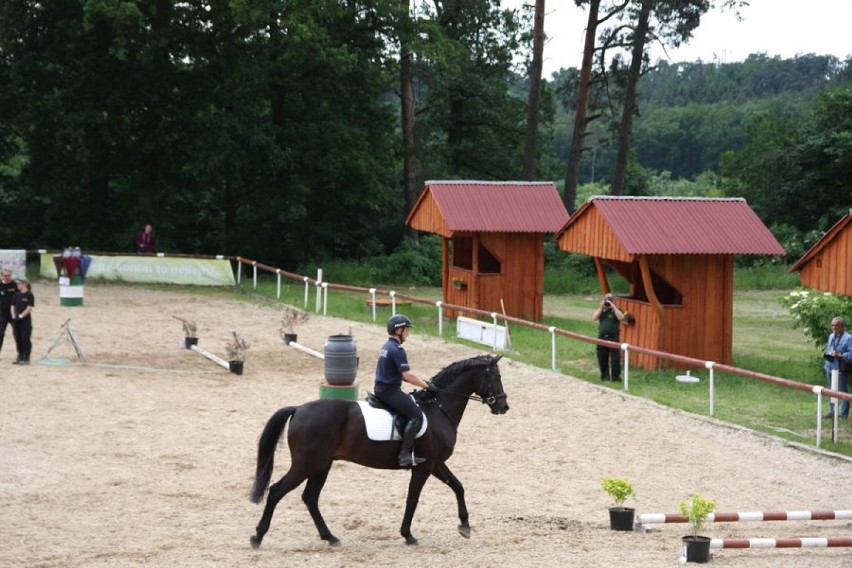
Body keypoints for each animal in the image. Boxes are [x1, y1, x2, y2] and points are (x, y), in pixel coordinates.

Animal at [250, 356, 510, 544]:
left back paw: (329, 537)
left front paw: (464, 526)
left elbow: (458, 486)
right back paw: (258, 536)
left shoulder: (436, 464)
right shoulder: (424, 466)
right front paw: (408, 535)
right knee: (277, 491)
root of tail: (299, 409)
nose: (504, 406)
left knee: (310, 498)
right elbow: (413, 499)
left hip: (322, 465)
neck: (437, 409)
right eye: (496, 376)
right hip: (307, 464)